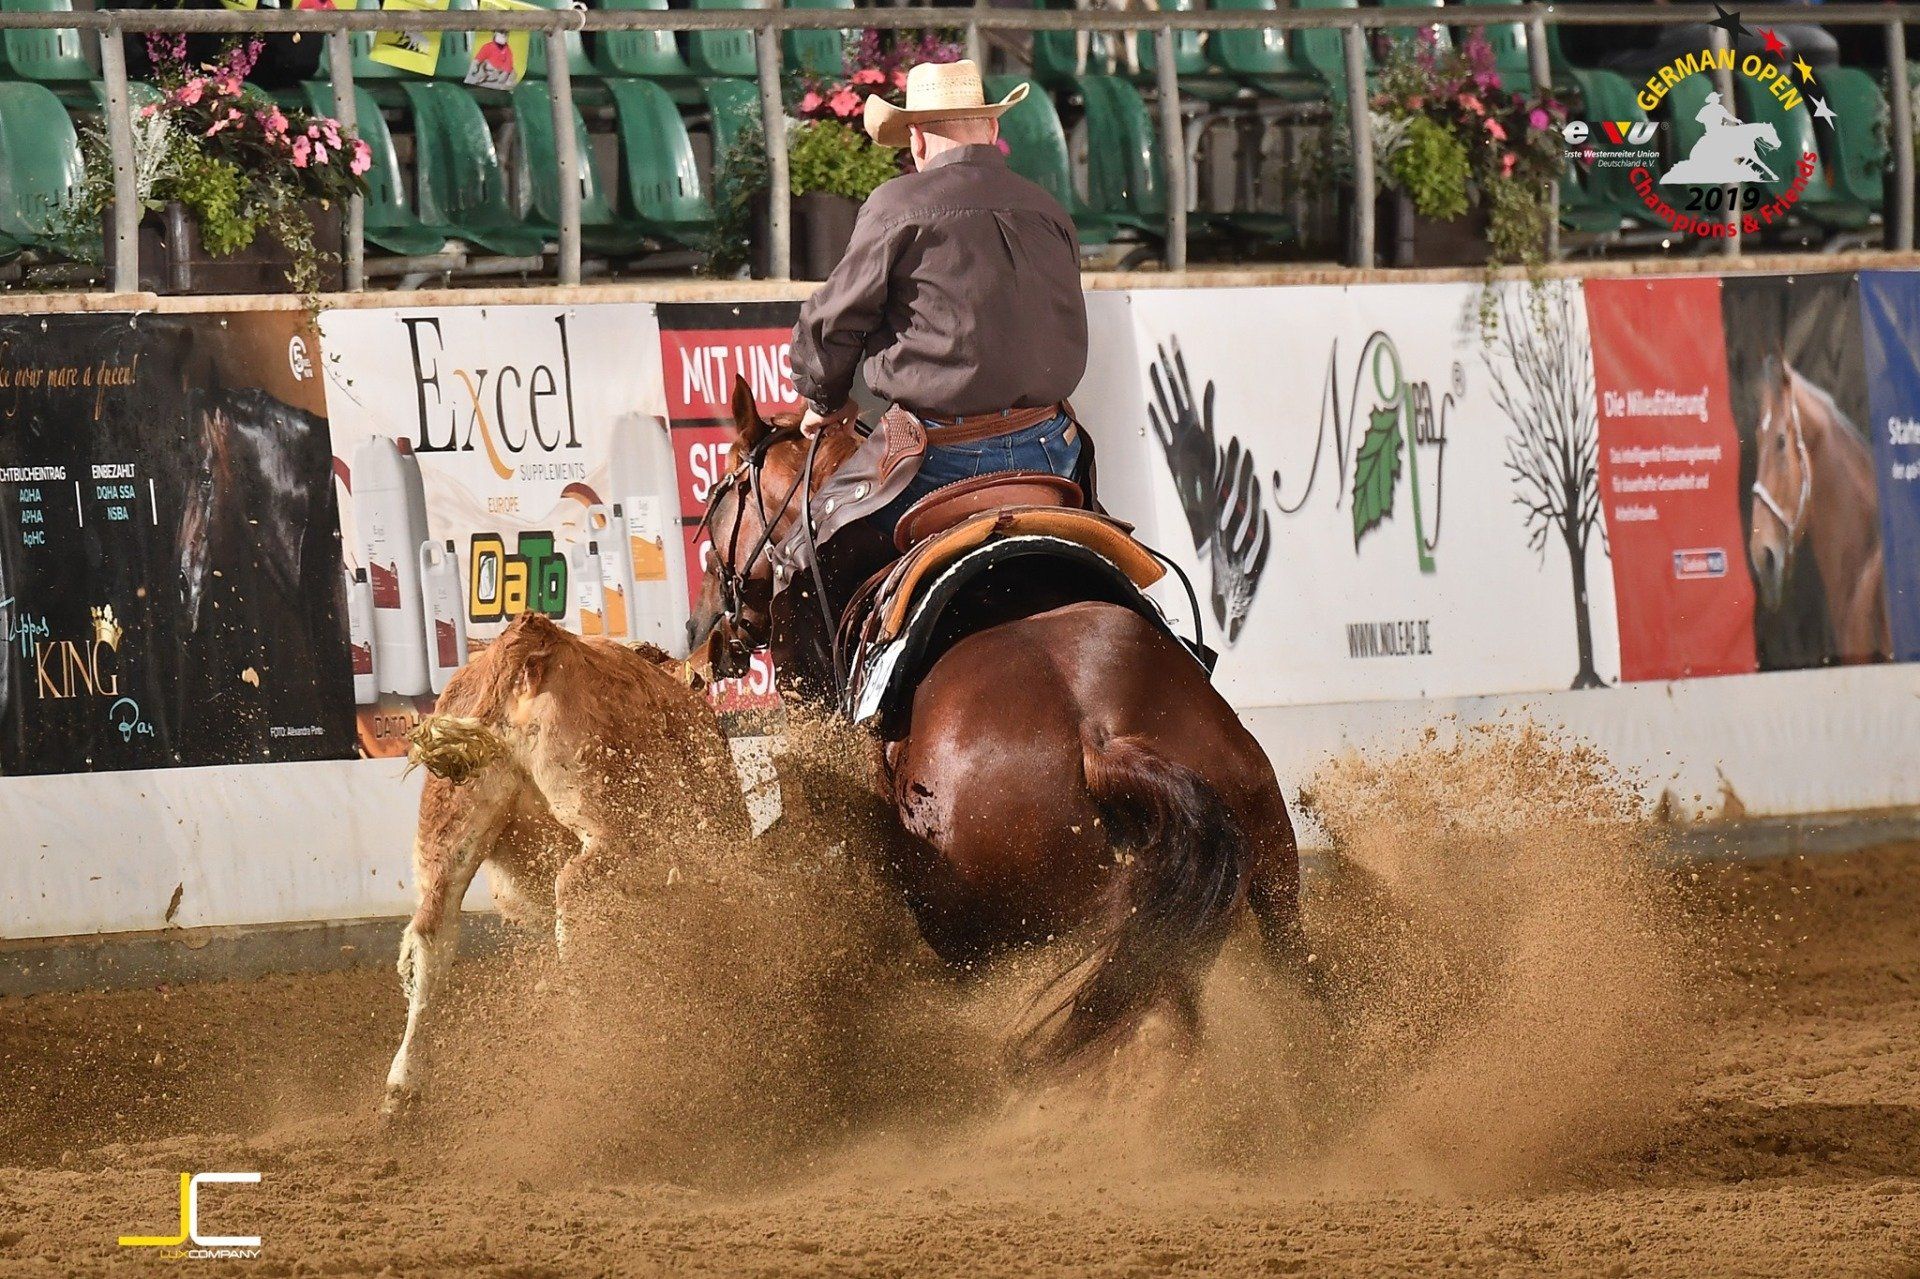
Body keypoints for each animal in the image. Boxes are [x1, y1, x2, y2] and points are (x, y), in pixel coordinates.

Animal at [382, 612, 748, 1113]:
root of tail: (529, 640)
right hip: (611, 828)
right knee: (573, 898)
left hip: (449, 827)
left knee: (431, 935)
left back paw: (403, 1083)